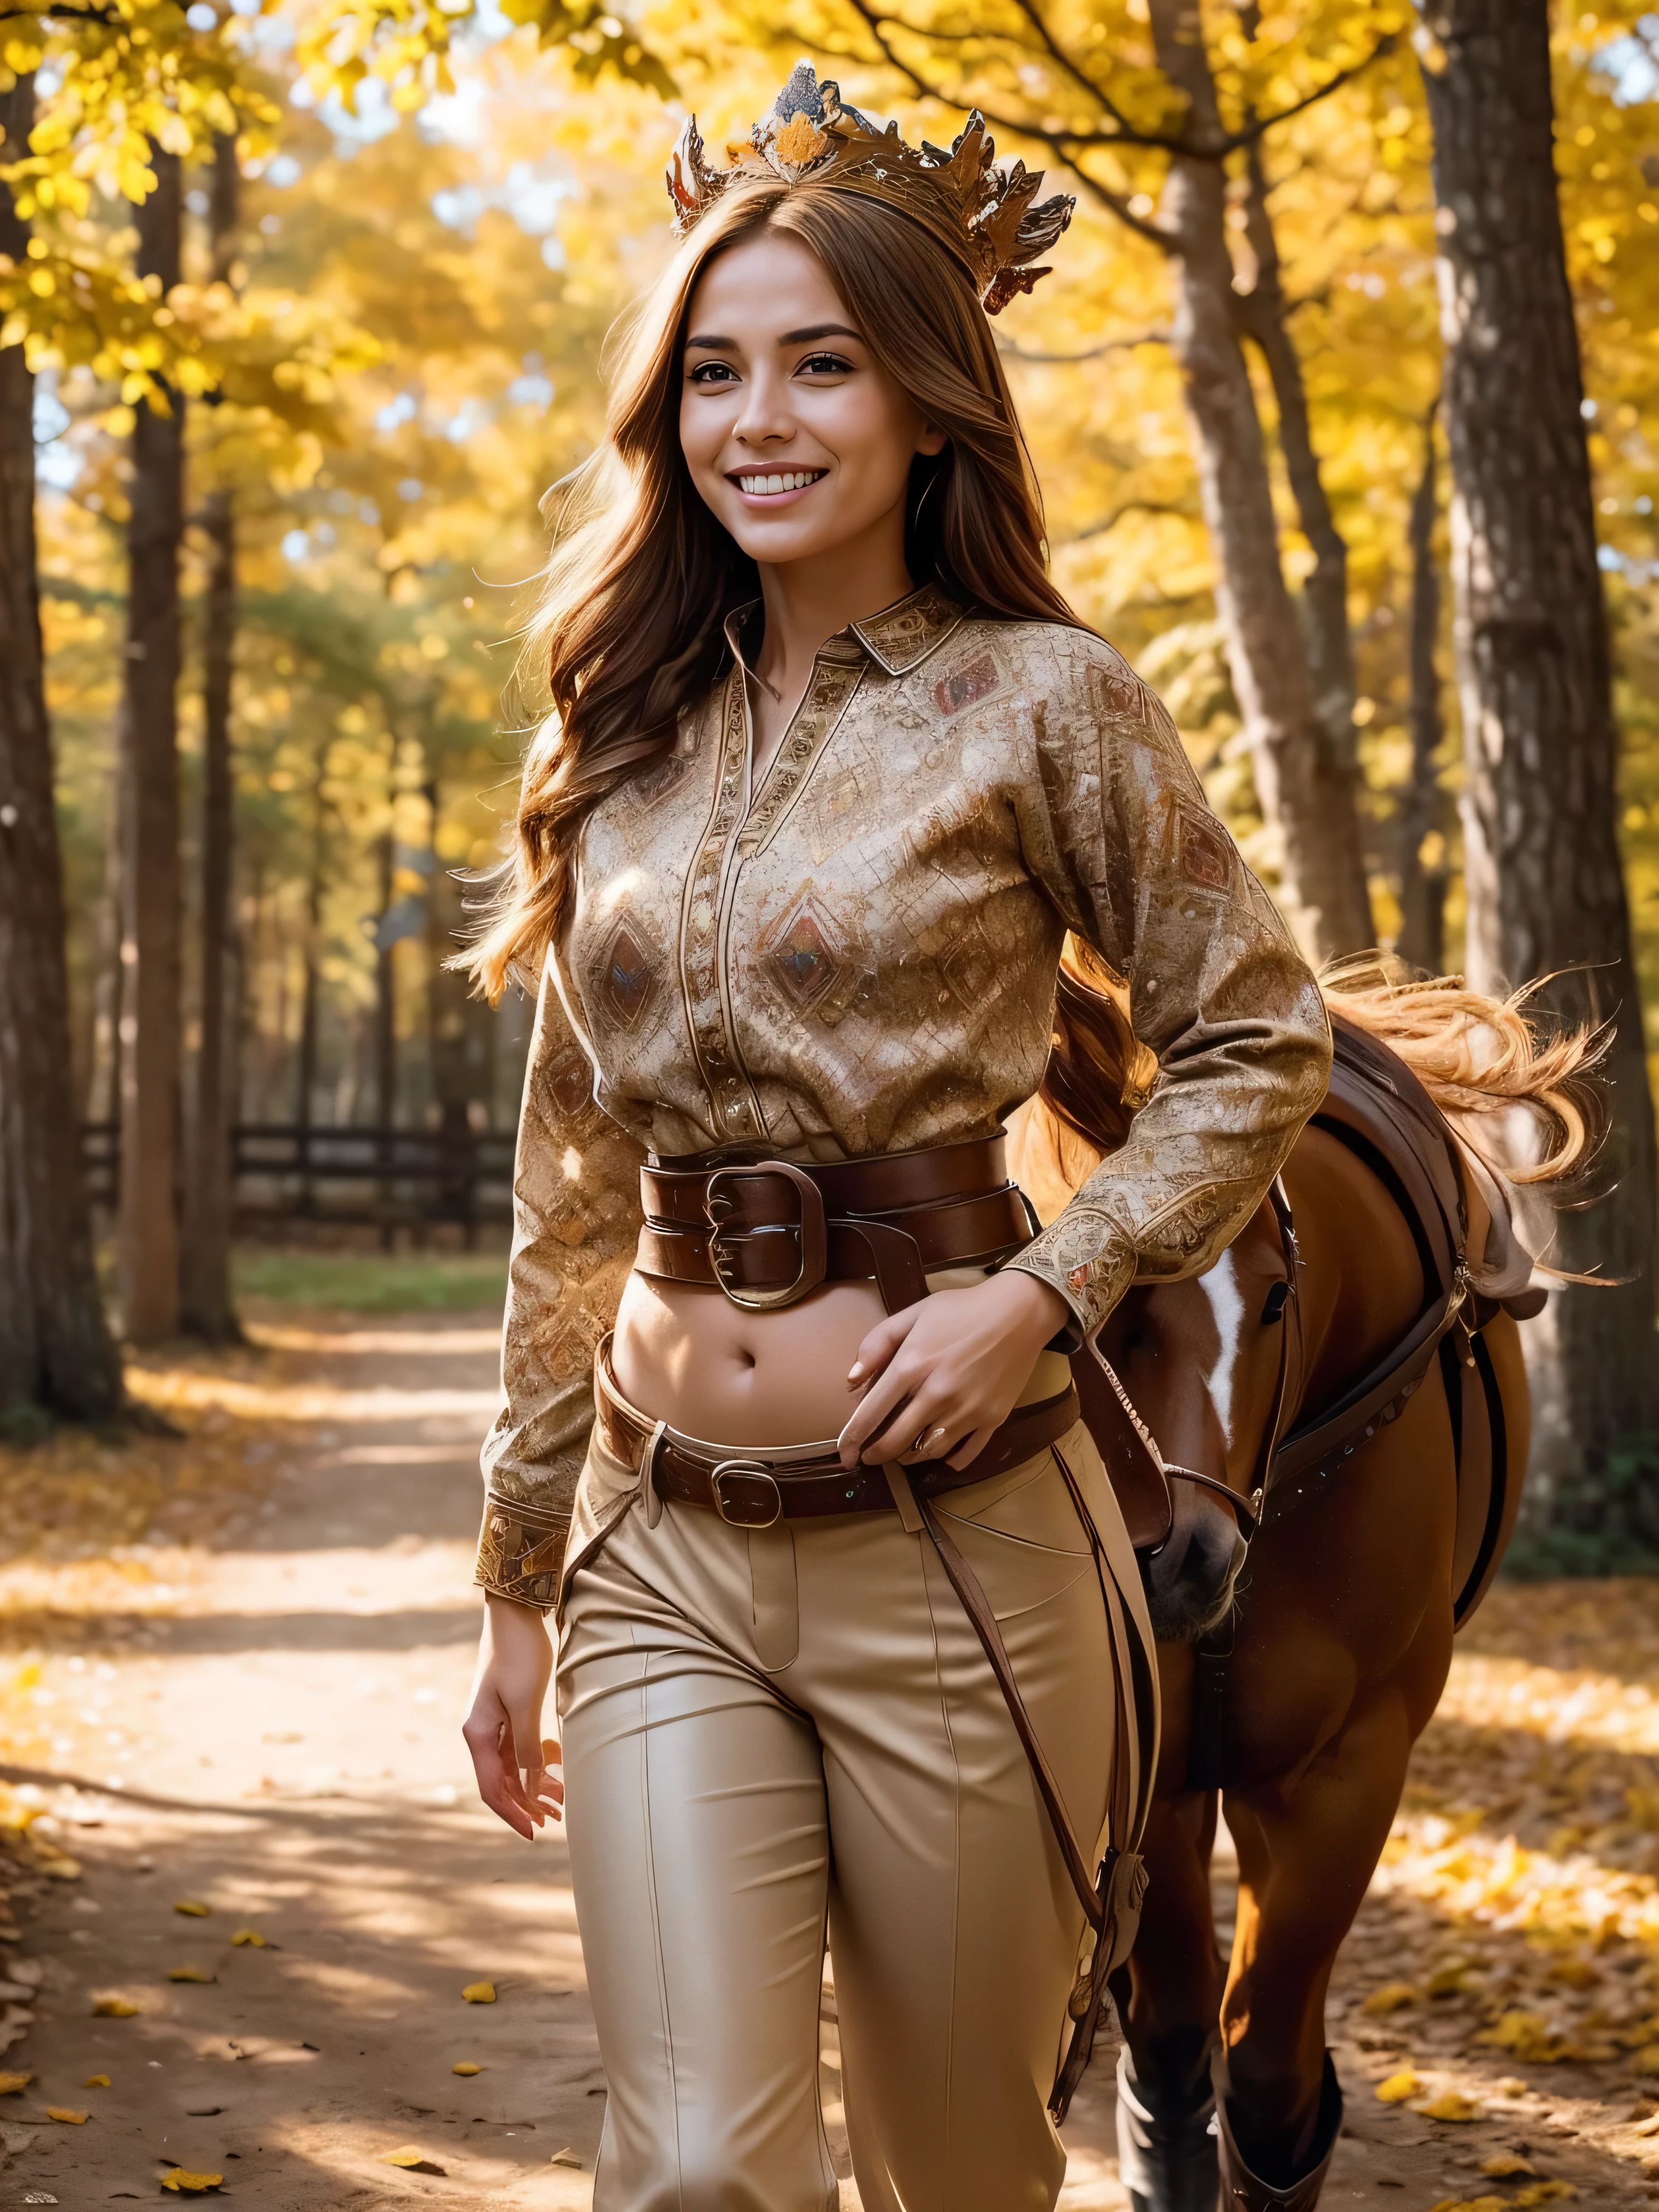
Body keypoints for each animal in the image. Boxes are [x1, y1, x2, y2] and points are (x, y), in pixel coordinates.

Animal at [1008, 955, 1601, 2212]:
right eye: (1085, 1303)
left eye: (1277, 1299)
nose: (1177, 1556)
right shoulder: (1151, 1769)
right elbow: (1172, 2048)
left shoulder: (1346, 1767)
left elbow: (1272, 2083)